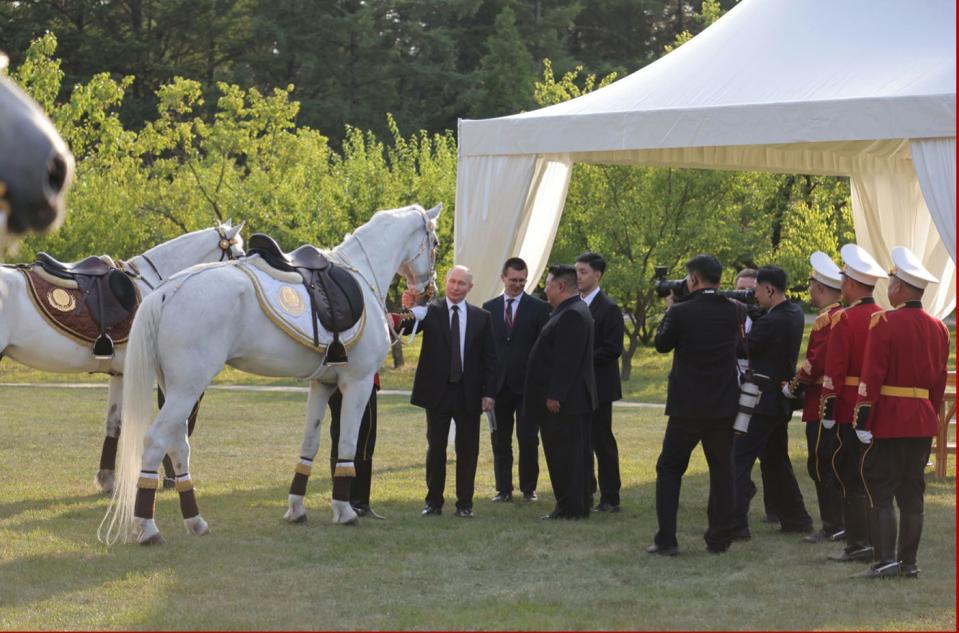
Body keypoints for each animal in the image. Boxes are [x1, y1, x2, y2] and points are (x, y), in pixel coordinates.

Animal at [99, 204, 440, 544]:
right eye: (435, 243)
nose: (428, 292)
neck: (360, 270)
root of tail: (167, 290)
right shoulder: (357, 384)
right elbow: (347, 445)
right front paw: (344, 511)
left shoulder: (322, 385)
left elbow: (310, 443)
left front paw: (296, 508)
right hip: (187, 390)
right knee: (155, 441)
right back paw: (147, 527)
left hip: (176, 390)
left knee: (178, 446)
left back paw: (195, 521)